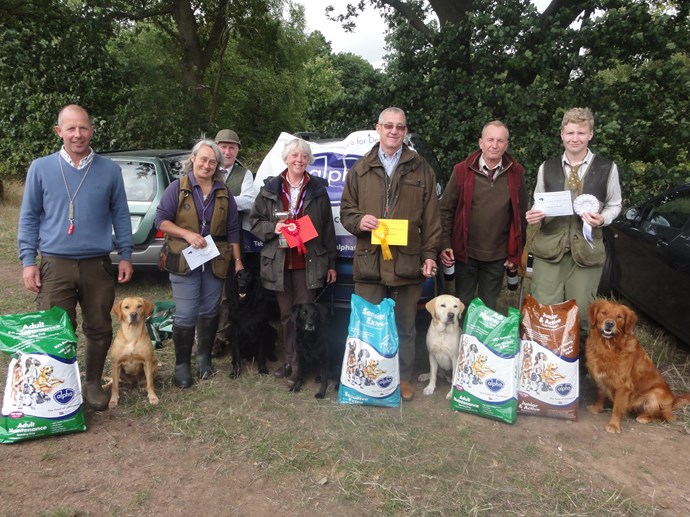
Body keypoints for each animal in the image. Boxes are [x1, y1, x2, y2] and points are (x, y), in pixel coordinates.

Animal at [586, 300, 690, 433]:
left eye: (619, 317)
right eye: (603, 313)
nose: (609, 323)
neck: (608, 347)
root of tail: (673, 399)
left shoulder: (623, 385)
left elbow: (617, 408)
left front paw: (614, 425)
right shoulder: (601, 376)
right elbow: (600, 394)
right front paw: (596, 408)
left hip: (655, 394)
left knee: (661, 416)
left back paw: (644, 418)